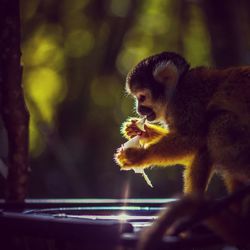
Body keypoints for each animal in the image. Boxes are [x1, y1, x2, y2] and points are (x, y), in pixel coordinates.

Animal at [114, 51, 250, 248]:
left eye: (142, 97)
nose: (139, 110)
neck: (176, 91)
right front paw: (144, 131)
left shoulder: (187, 102)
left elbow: (192, 138)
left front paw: (139, 155)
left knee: (217, 123)